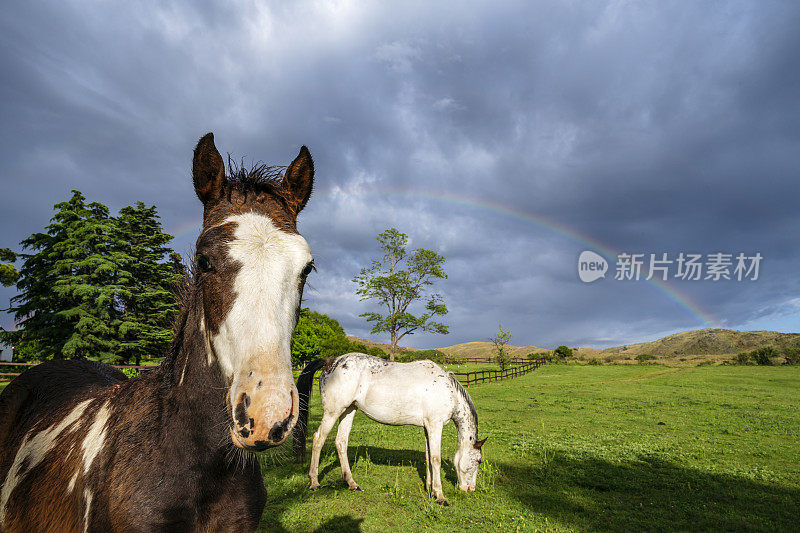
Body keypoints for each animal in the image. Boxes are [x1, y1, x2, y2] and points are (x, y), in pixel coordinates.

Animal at [292, 354, 484, 502]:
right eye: (478, 461)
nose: (470, 489)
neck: (448, 390)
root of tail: (331, 361)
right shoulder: (435, 426)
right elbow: (435, 459)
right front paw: (440, 496)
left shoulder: (428, 427)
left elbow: (428, 456)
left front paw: (430, 488)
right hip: (333, 412)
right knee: (318, 439)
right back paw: (314, 482)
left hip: (348, 410)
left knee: (341, 442)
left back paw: (352, 483)